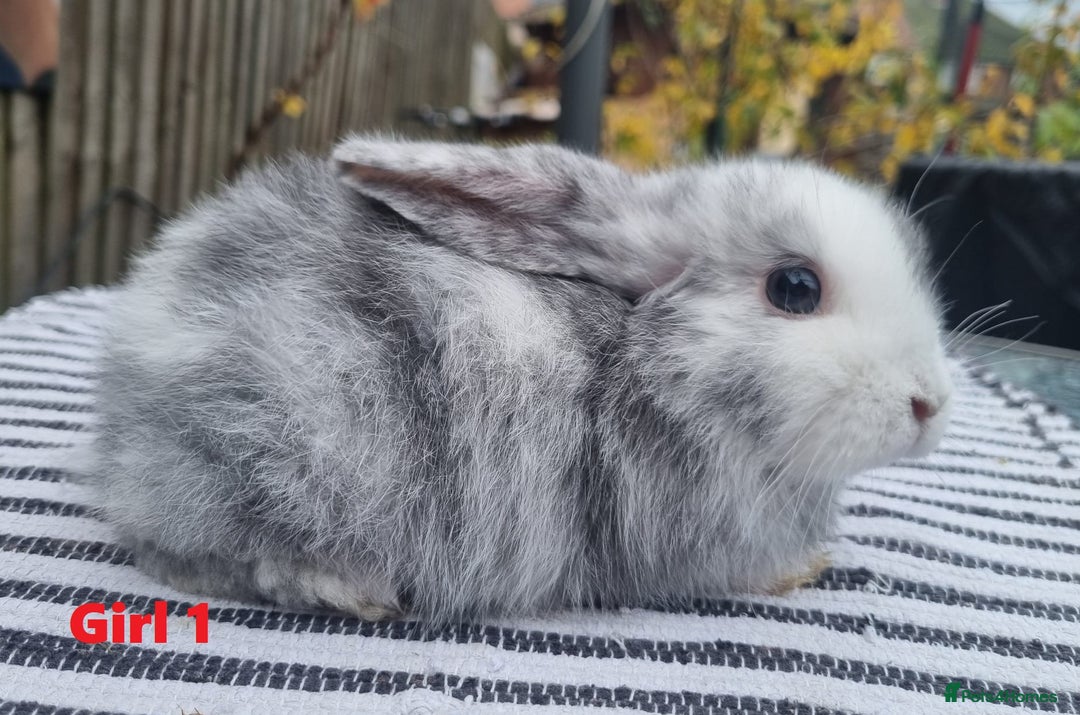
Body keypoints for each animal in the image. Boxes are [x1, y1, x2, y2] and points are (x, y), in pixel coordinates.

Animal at [89, 135, 953, 622]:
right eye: (795, 287)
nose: (930, 404)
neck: (654, 367)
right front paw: (801, 570)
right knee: (203, 553)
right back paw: (353, 589)